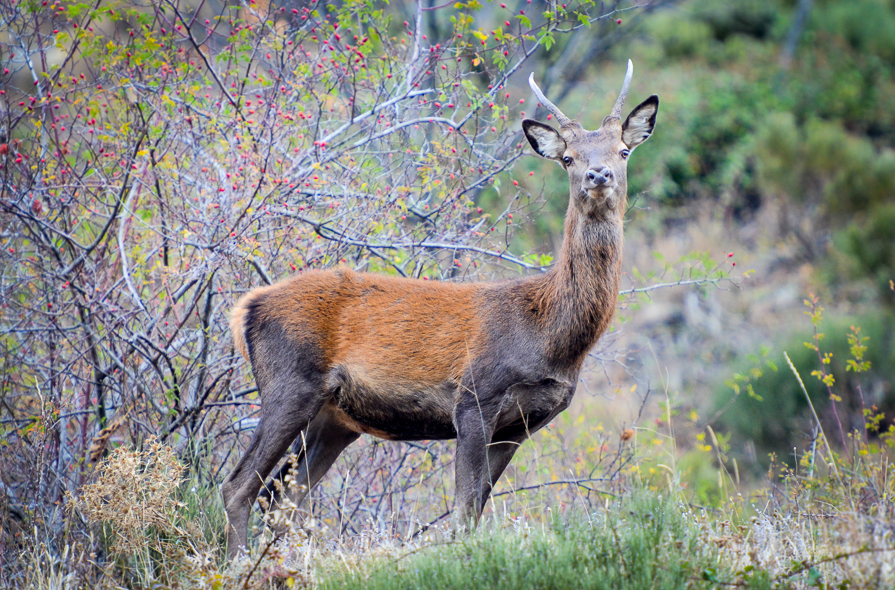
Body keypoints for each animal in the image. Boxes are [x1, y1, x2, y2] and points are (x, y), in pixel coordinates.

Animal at [224, 61, 656, 560]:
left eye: (623, 150)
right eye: (568, 158)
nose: (598, 175)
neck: (550, 337)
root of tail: (246, 307)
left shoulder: (521, 425)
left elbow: (475, 510)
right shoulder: (473, 399)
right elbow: (463, 515)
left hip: (334, 418)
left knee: (281, 495)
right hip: (289, 381)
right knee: (239, 486)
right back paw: (235, 566)